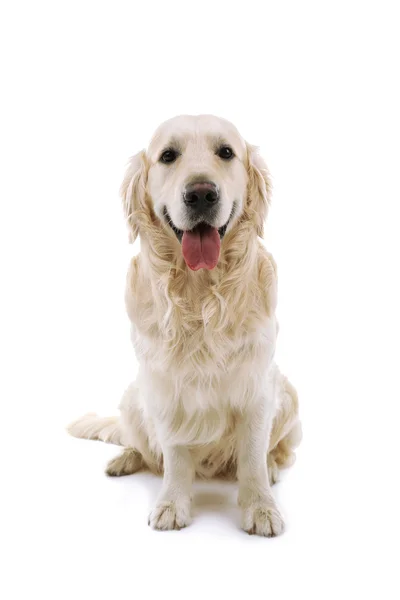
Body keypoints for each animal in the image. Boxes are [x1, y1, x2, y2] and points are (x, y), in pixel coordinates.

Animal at [69, 115, 302, 536]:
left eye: (225, 152)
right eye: (167, 156)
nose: (201, 194)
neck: (200, 294)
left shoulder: (257, 384)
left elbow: (252, 454)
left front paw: (261, 506)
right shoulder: (164, 385)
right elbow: (174, 454)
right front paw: (172, 503)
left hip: (289, 395)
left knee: (276, 451)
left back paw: (273, 467)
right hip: (133, 395)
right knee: (143, 446)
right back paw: (125, 459)